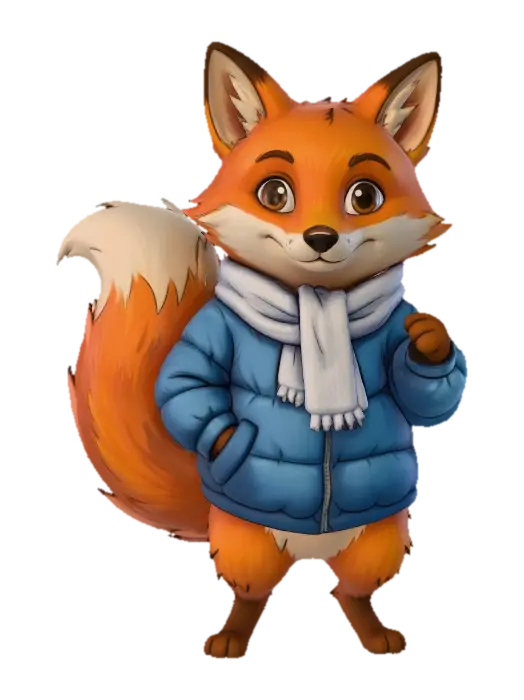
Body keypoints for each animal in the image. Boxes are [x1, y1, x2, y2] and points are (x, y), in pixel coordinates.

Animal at [60, 42, 471, 662]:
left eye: (364, 196)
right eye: (275, 194)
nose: (321, 238)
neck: (314, 302)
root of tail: (309, 553)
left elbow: (426, 399)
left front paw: (430, 344)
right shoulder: (212, 333)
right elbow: (183, 384)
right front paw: (221, 433)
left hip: (376, 541)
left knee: (351, 591)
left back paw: (372, 633)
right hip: (247, 543)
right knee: (252, 591)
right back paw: (232, 635)